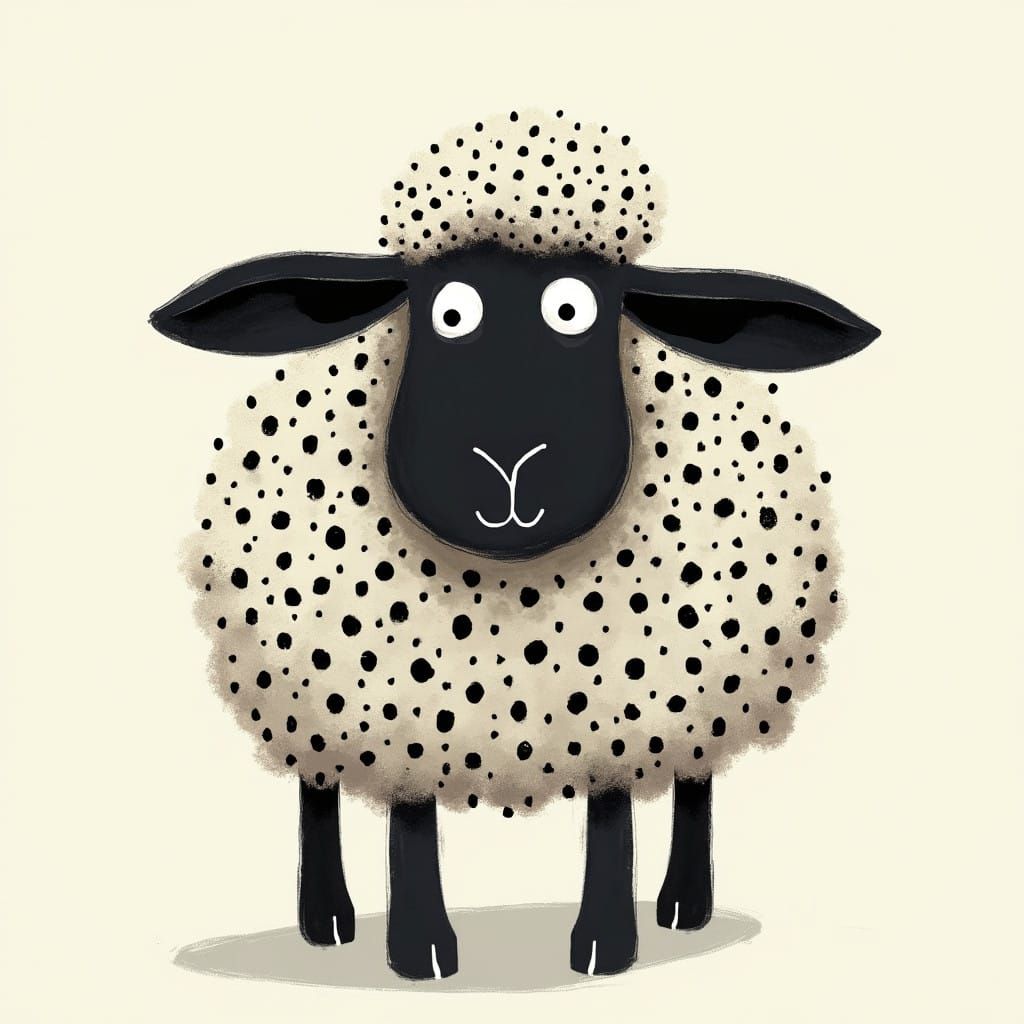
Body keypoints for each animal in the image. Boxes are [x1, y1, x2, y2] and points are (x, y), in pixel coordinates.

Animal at [149, 109, 880, 981]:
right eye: (449, 311)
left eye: (576, 309)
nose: (508, 470)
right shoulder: (399, 699)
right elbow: (410, 819)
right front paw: (420, 953)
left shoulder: (622, 690)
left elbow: (611, 814)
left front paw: (604, 947)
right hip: (301, 677)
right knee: (316, 785)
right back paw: (325, 920)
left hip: (710, 676)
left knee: (696, 776)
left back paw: (685, 906)